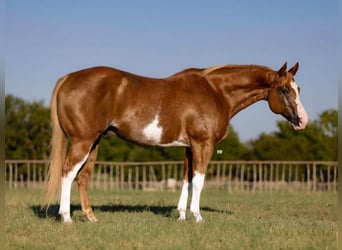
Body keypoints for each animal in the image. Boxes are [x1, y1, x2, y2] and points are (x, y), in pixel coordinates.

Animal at [44, 62, 308, 223]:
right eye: (285, 90)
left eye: (298, 88)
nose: (302, 121)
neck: (215, 92)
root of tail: (69, 78)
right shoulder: (203, 145)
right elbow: (199, 181)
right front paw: (197, 217)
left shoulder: (190, 148)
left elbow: (187, 181)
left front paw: (181, 215)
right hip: (83, 141)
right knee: (67, 173)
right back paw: (66, 217)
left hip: (94, 142)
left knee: (83, 176)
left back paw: (90, 217)